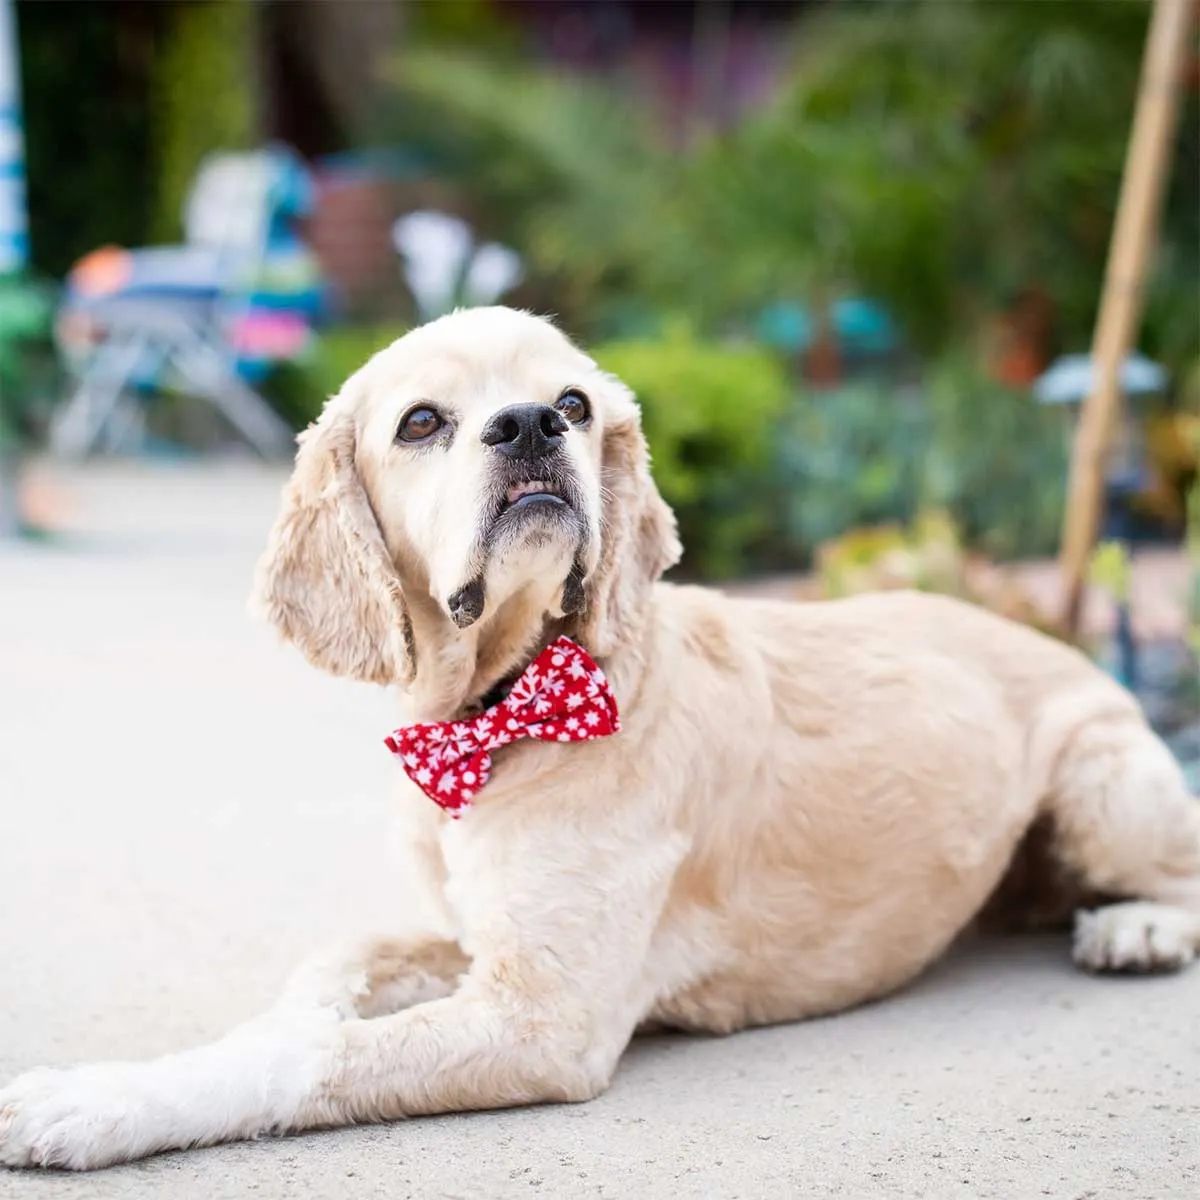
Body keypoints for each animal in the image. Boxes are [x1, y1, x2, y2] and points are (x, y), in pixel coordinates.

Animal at [2, 302, 1200, 1171]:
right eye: (423, 421)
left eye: (574, 402)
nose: (533, 425)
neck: (496, 714)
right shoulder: (473, 938)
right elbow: (325, 977)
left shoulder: (545, 1016)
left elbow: (314, 1055)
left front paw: (97, 1097)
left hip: (1104, 783)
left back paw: (1138, 928)